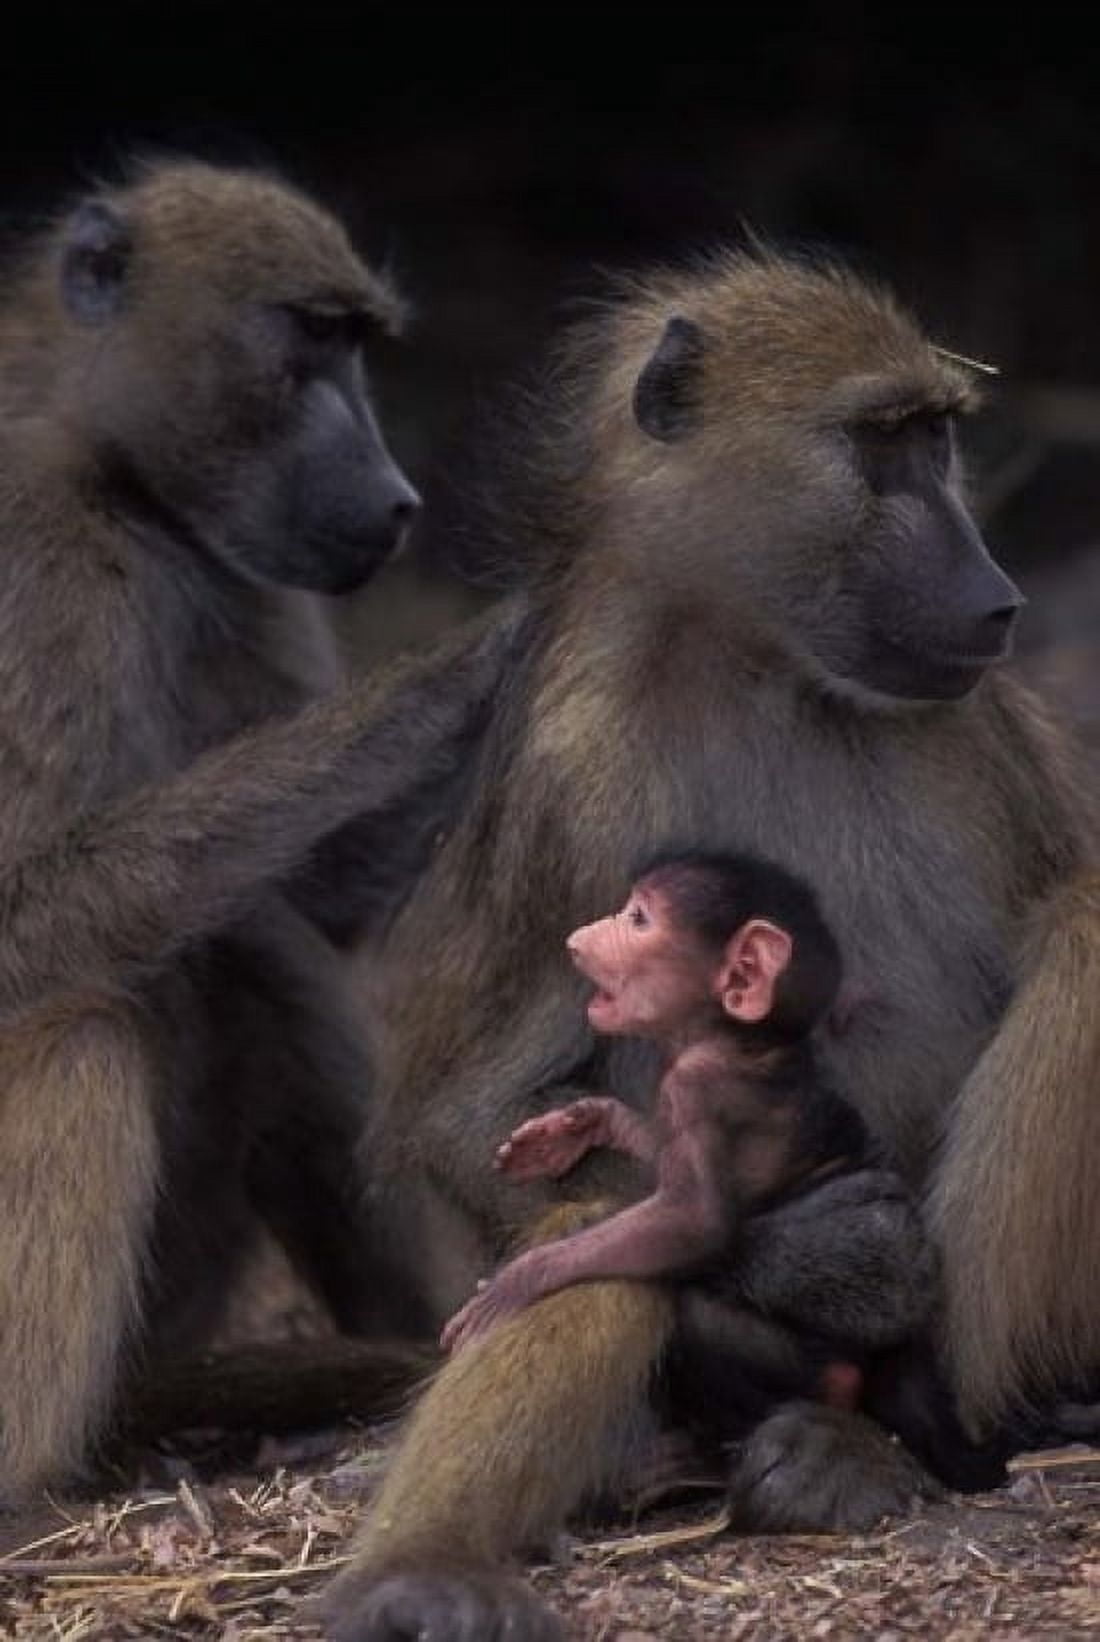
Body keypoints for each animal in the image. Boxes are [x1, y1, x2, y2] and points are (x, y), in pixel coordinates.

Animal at [0, 158, 524, 1507]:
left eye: (358, 344)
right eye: (308, 337)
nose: (397, 501)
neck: (105, 470)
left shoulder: (237, 570)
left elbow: (320, 899)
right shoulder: (37, 555)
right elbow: (25, 907)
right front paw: (463, 667)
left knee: (259, 947)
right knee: (86, 1019)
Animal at [315, 251, 1096, 1642]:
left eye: (936, 439)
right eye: (881, 444)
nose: (996, 597)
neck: (757, 664)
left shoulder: (979, 733)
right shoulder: (571, 765)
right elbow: (472, 1116)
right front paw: (817, 1255)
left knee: (1083, 924)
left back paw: (916, 1444)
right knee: (587, 1228)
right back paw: (426, 1566)